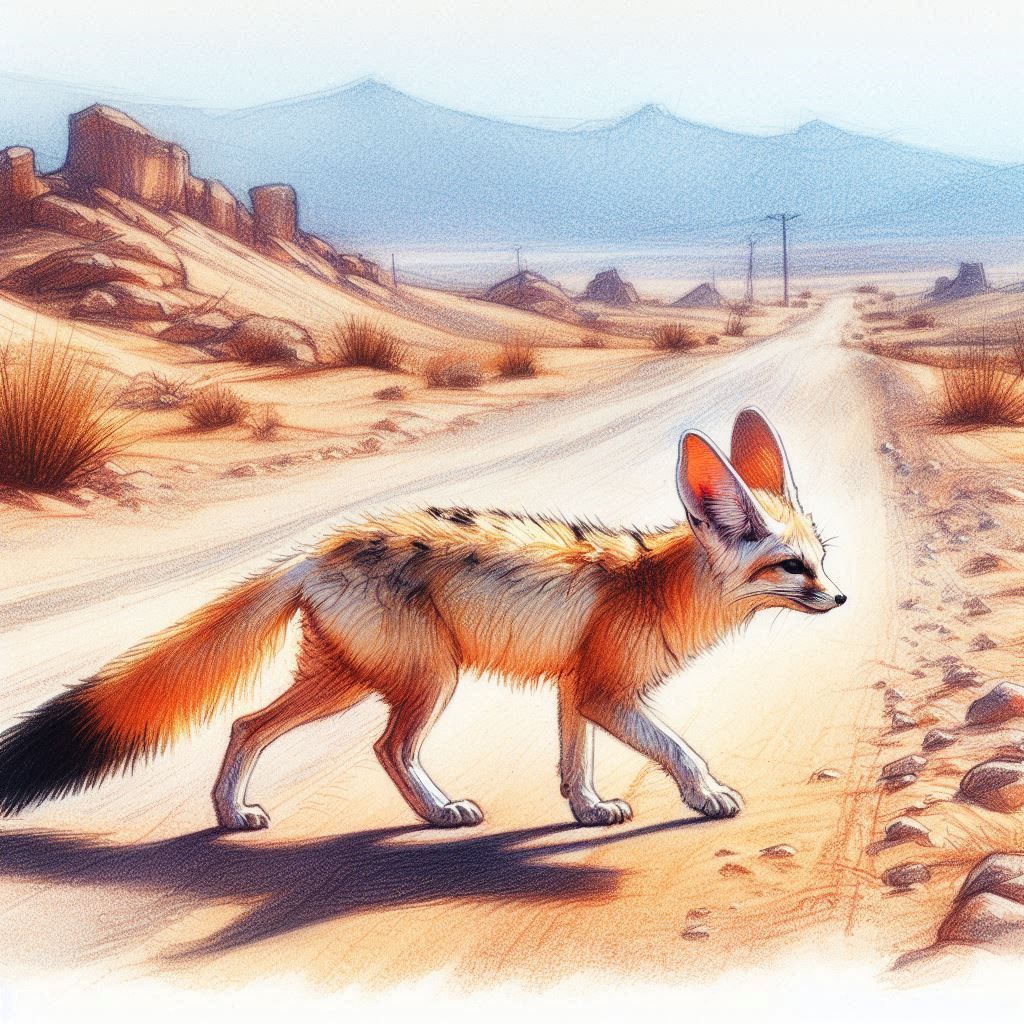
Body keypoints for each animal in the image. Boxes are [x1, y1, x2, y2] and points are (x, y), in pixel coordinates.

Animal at [0, 408, 844, 830]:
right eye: (791, 568)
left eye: (822, 558)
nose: (841, 600)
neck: (655, 584)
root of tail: (314, 550)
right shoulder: (608, 692)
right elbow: (678, 749)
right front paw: (708, 797)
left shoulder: (575, 688)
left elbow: (574, 762)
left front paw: (588, 810)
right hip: (426, 679)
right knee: (386, 748)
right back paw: (439, 812)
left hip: (343, 681)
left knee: (245, 724)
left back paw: (232, 814)